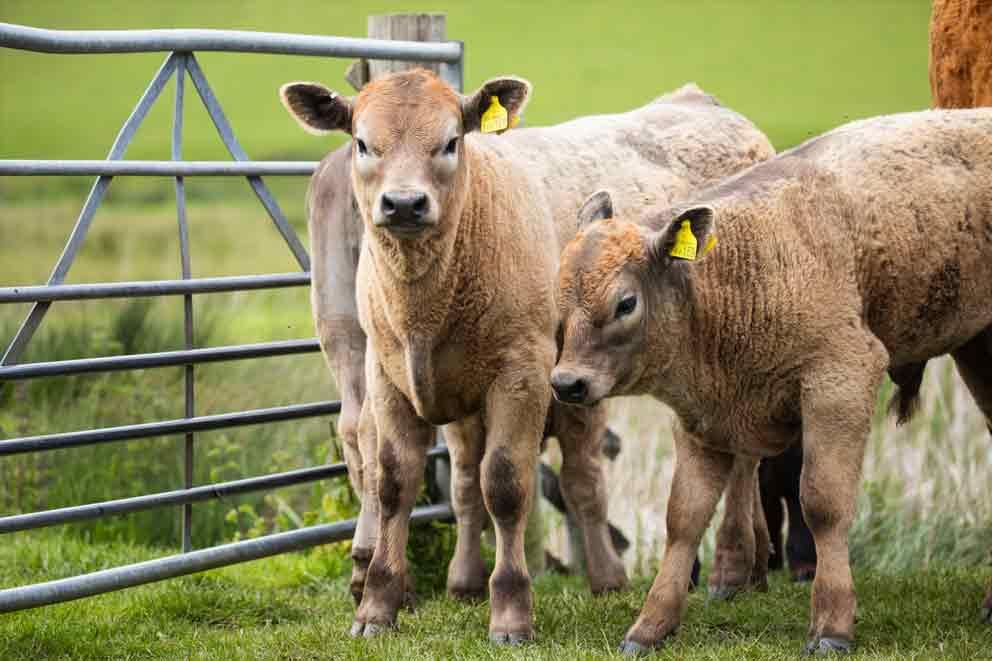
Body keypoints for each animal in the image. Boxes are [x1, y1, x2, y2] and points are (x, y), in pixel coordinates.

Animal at [556, 108, 988, 648]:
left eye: (625, 303)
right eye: (558, 294)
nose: (566, 383)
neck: (751, 265)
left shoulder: (840, 382)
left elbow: (823, 503)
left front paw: (831, 624)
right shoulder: (702, 419)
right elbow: (684, 518)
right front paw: (650, 626)